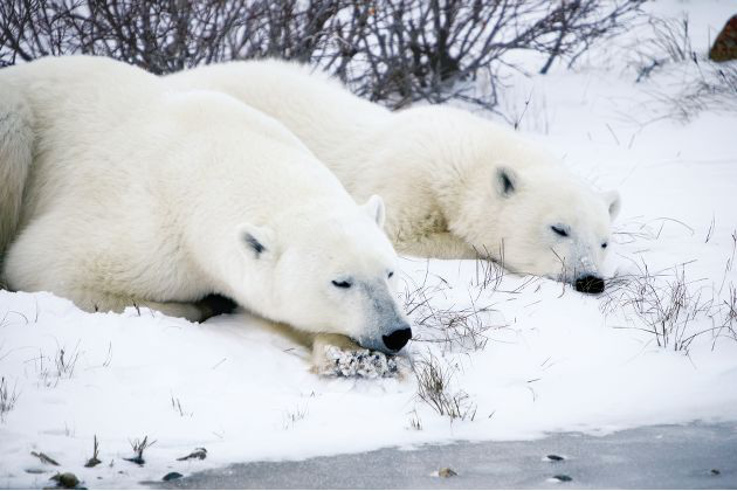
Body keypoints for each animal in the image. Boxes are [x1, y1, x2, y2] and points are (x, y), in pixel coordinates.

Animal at [0, 56, 412, 368]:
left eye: (389, 272)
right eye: (340, 281)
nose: (396, 333)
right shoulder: (146, 228)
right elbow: (43, 265)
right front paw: (203, 303)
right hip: (17, 121)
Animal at [168, 60, 620, 294]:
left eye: (604, 241)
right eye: (559, 228)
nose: (590, 280)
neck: (459, 154)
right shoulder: (405, 180)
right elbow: (409, 234)